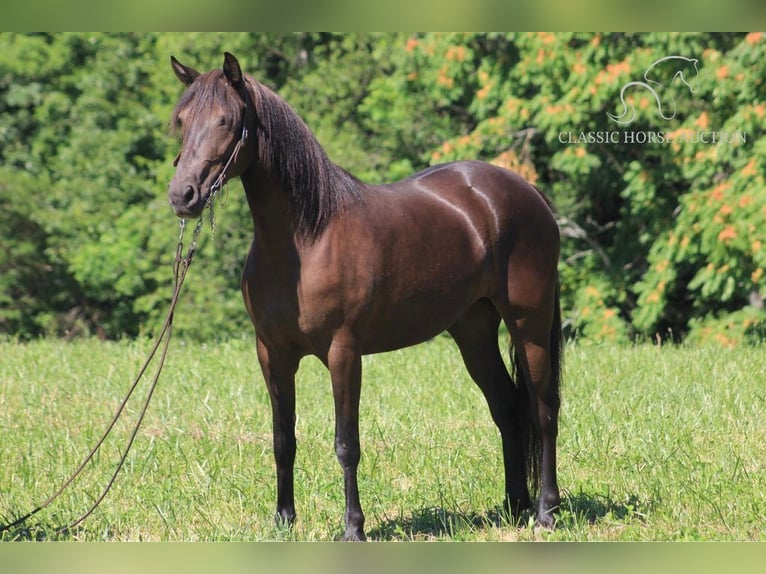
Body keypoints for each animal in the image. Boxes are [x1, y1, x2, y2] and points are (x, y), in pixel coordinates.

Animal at [168, 51, 564, 544]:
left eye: (225, 120)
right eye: (182, 120)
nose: (182, 196)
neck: (305, 240)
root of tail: (527, 192)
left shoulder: (344, 353)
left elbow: (346, 443)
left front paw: (353, 527)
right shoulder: (272, 354)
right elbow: (283, 440)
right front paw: (284, 519)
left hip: (529, 324)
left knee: (544, 410)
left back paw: (546, 511)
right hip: (473, 331)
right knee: (508, 408)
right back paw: (514, 505)